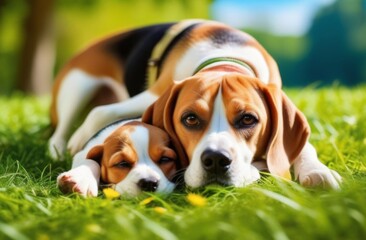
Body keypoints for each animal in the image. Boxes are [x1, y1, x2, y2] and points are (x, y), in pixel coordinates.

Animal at [48, 19, 340, 189]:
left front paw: (318, 171)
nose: (216, 160)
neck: (226, 56)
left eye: (248, 119)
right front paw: (80, 146)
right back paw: (61, 145)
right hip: (77, 86)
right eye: (190, 118)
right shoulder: (152, 95)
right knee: (64, 127)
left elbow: (305, 148)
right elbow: (99, 116)